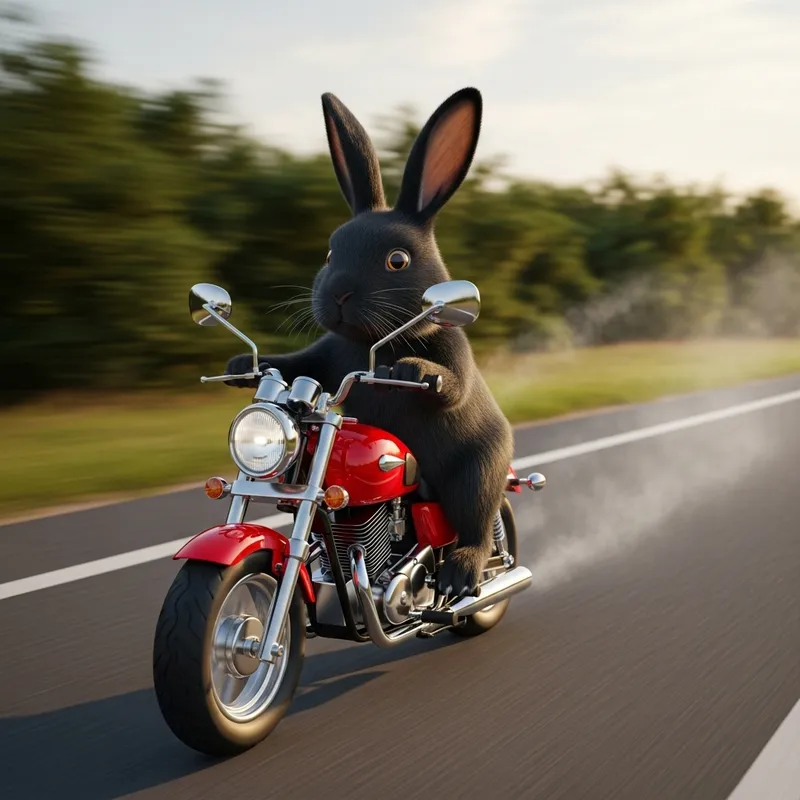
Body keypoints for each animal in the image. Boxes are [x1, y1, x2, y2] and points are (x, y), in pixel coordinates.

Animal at [225, 87, 514, 599]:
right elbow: (299, 365)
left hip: (480, 472)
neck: (371, 342)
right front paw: (244, 363)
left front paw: (415, 371)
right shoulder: (328, 356)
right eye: (329, 253)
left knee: (479, 522)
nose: (339, 292)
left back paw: (463, 574)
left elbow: (452, 386)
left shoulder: (451, 350)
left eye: (397, 260)